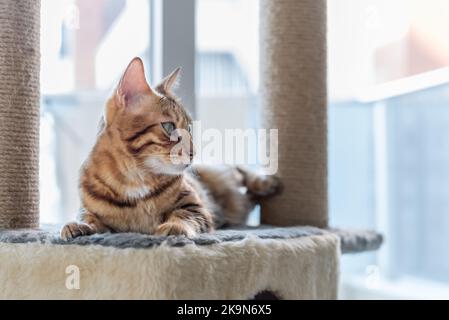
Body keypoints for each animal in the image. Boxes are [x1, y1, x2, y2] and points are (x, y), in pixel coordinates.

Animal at [60, 57, 280, 240]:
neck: (135, 179)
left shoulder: (194, 206)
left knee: (239, 172)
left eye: (189, 128)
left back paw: (266, 182)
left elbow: (183, 216)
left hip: (218, 172)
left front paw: (174, 227)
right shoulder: (89, 209)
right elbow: (88, 218)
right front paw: (77, 226)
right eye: (169, 127)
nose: (193, 153)